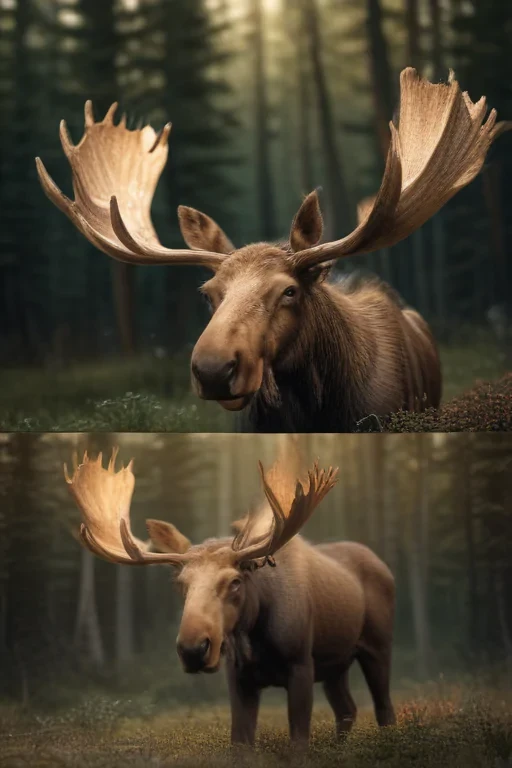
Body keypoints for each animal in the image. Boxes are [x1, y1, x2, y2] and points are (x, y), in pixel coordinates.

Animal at [65, 449, 396, 747]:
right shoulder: (238, 676)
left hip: (376, 648)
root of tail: (385, 567)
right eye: (180, 584)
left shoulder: (301, 665)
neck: (256, 635)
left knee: (384, 710)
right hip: (335, 664)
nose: (193, 649)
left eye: (235, 581)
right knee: (347, 709)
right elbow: (240, 742)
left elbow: (299, 741)